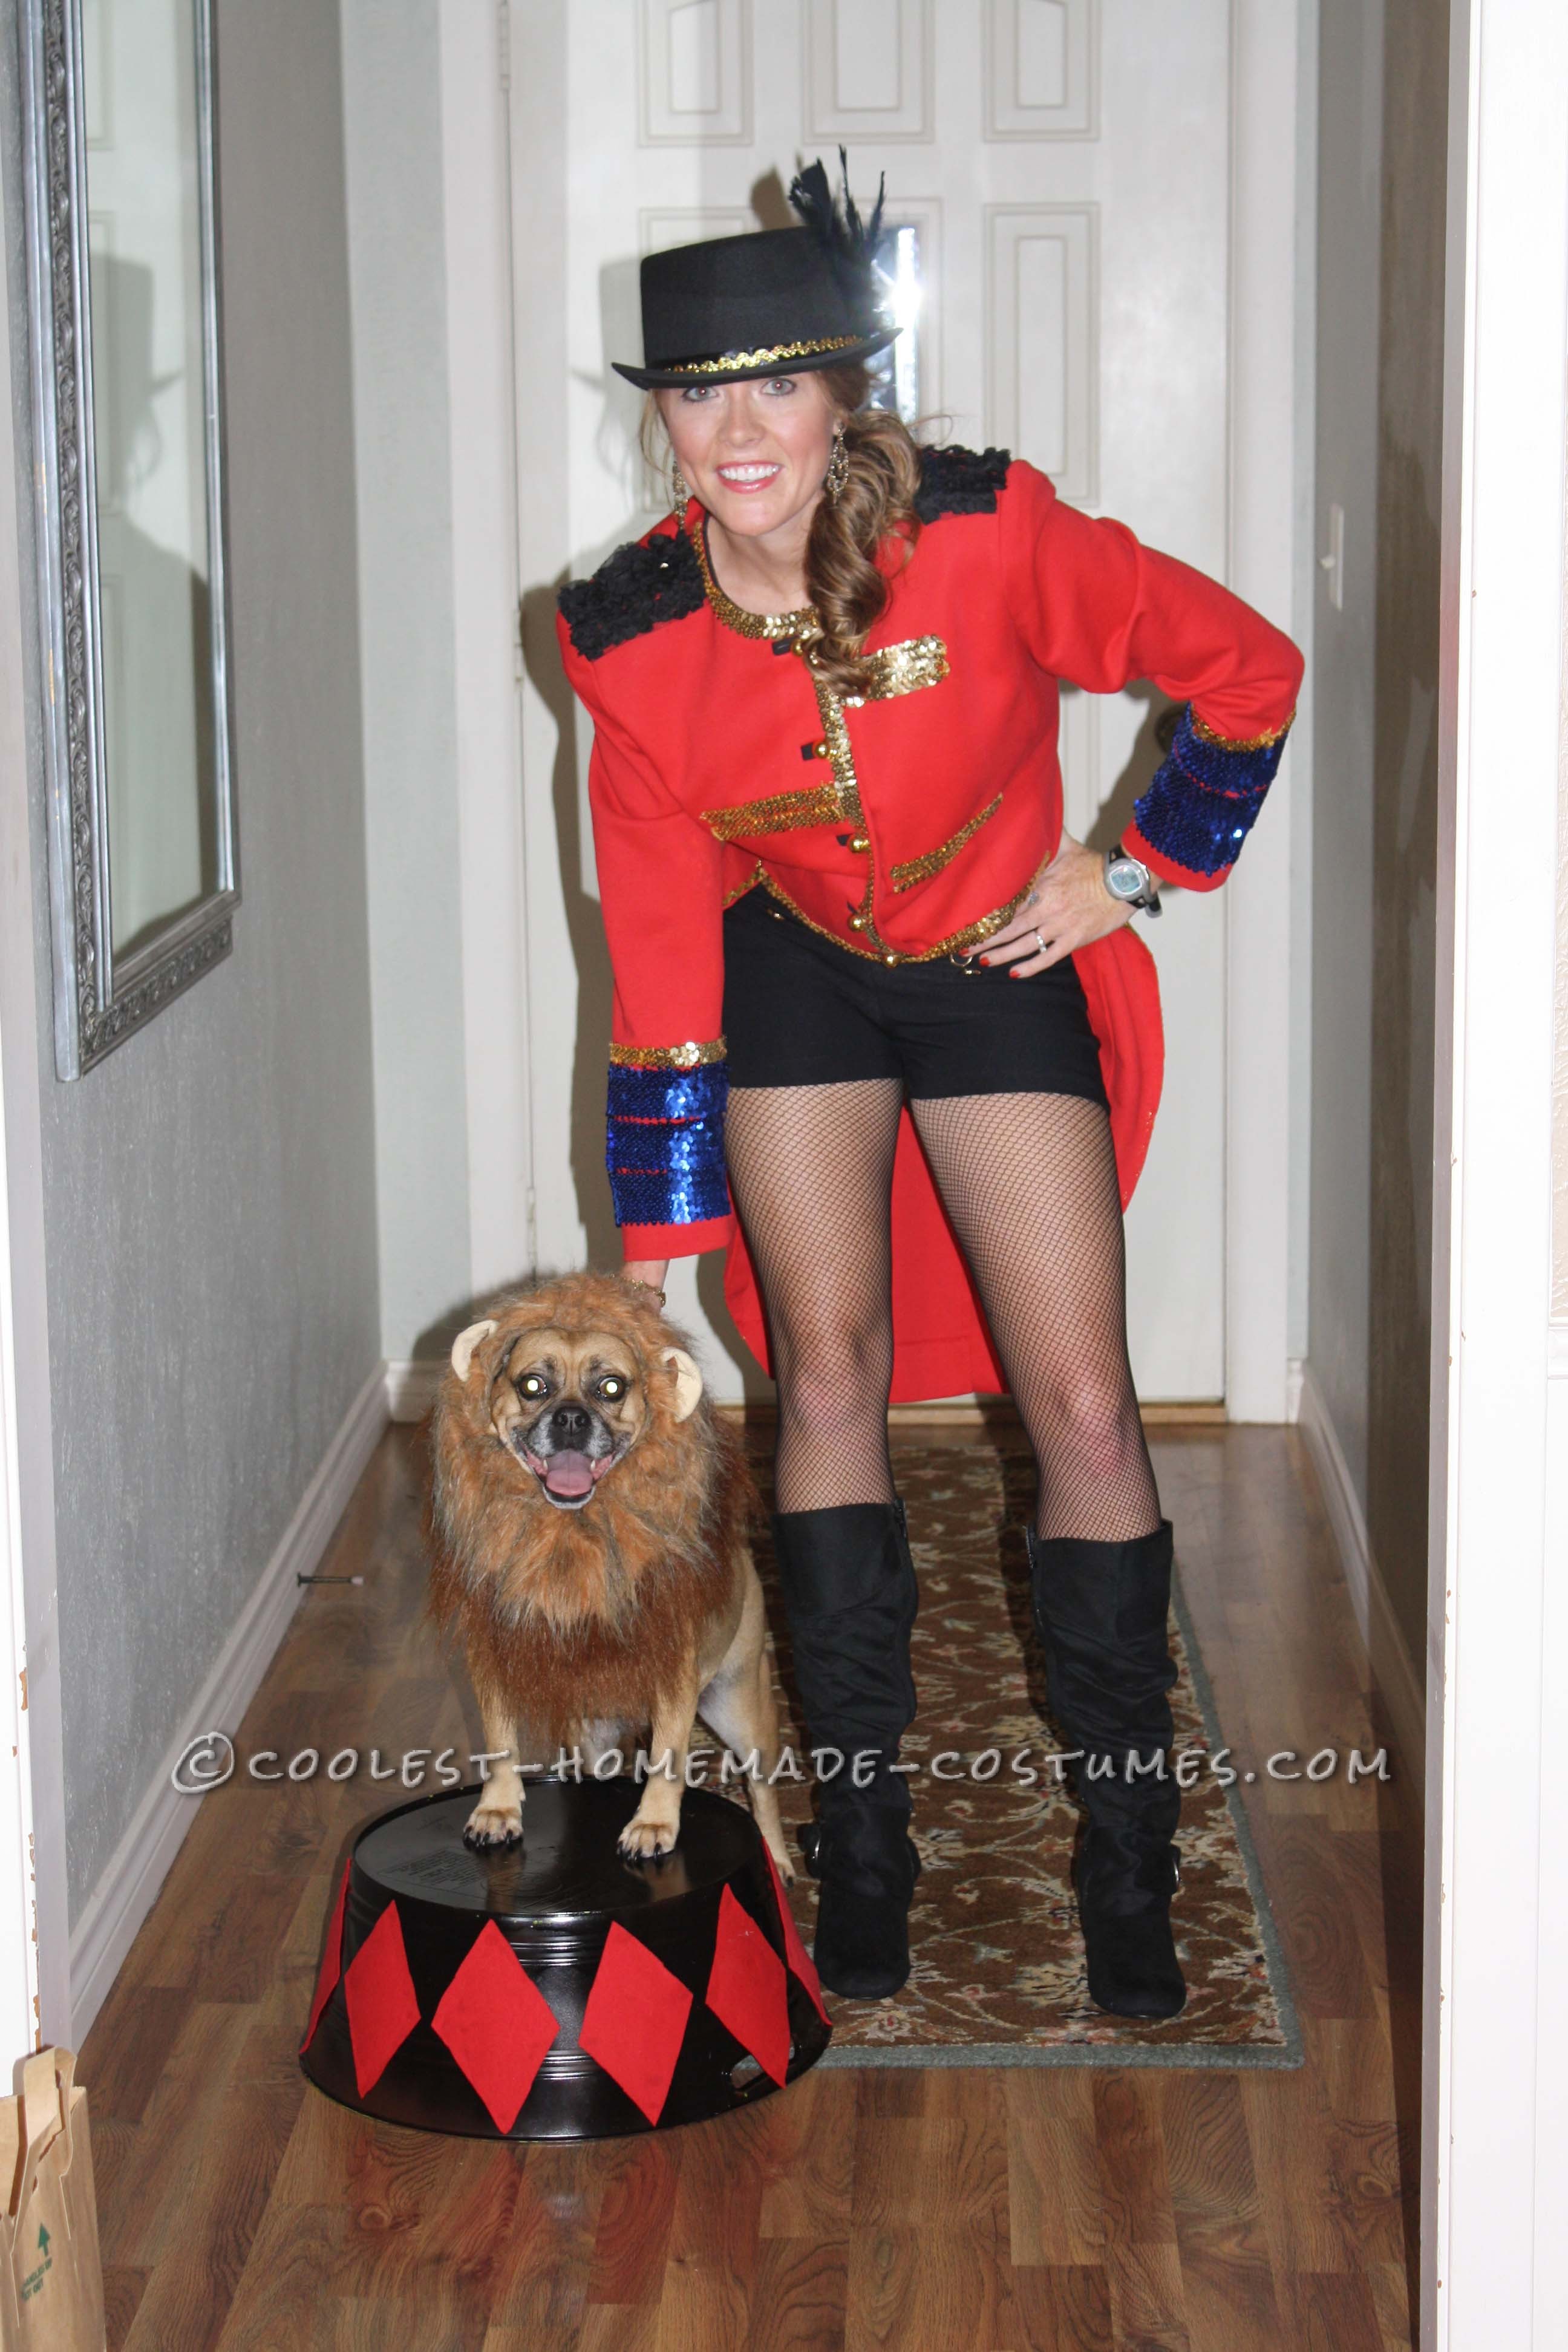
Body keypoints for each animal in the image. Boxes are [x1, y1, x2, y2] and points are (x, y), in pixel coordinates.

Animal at [423, 1270, 799, 1872]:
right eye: (533, 1385)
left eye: (612, 1388)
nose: (572, 1419)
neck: (572, 1540)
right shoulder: (496, 1662)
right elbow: (501, 1743)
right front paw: (497, 1811)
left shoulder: (675, 1682)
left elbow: (668, 1762)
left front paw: (654, 1825)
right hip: (594, 1737)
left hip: (741, 1709)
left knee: (762, 1790)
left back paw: (778, 1859)